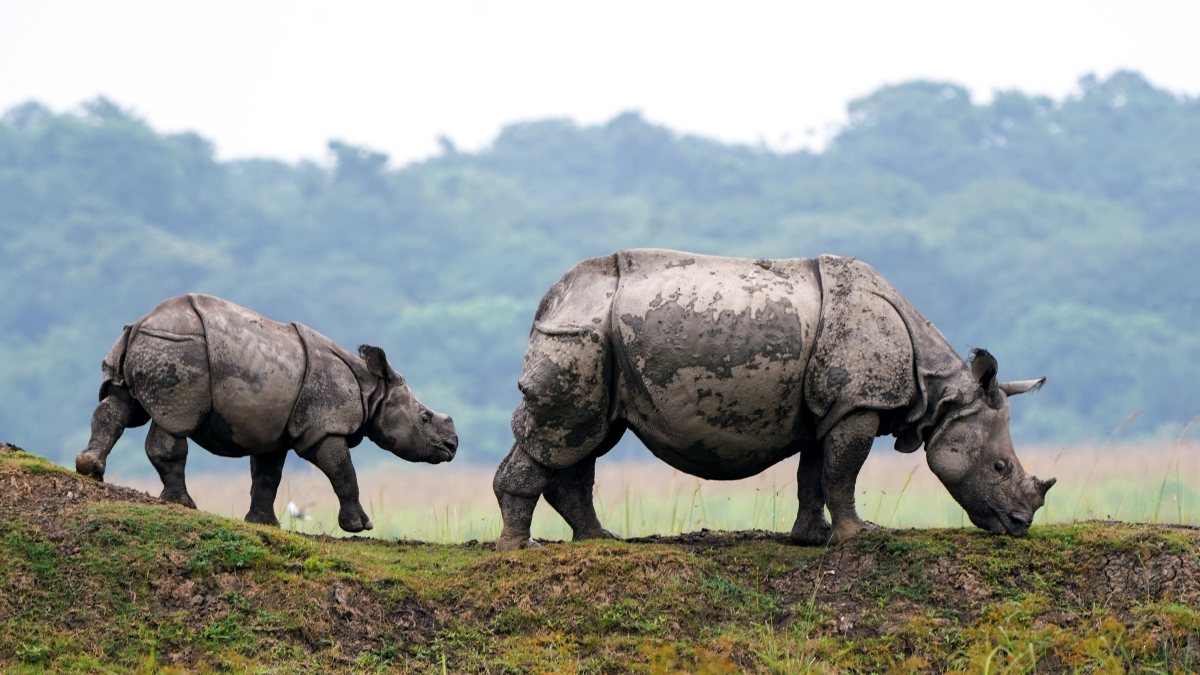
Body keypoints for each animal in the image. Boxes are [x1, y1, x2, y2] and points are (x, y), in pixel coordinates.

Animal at [75, 294, 458, 532]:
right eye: (424, 418)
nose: (453, 445)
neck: (372, 389)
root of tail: (141, 323)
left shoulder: (273, 432)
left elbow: (267, 476)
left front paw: (263, 523)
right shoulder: (324, 427)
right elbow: (343, 473)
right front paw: (360, 527)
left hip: (150, 344)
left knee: (119, 403)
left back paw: (90, 468)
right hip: (181, 348)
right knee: (175, 422)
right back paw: (184, 504)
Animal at [493, 249, 1054, 549]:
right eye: (1001, 467)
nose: (1020, 525)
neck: (939, 390)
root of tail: (552, 299)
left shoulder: (830, 409)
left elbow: (815, 473)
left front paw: (812, 537)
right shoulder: (858, 405)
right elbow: (842, 472)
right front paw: (858, 536)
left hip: (597, 340)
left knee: (586, 437)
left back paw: (599, 539)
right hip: (582, 336)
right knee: (566, 435)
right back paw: (522, 549)